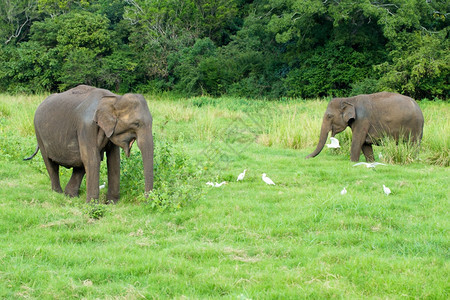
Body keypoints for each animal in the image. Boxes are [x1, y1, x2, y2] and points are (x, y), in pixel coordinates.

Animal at [25, 84, 155, 203]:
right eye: (137, 123)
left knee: (79, 165)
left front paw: (111, 203)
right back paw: (58, 193)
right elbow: (92, 159)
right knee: (51, 164)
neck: (114, 98)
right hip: (39, 133)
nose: (146, 201)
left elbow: (113, 160)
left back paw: (70, 195)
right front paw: (92, 205)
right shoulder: (86, 126)